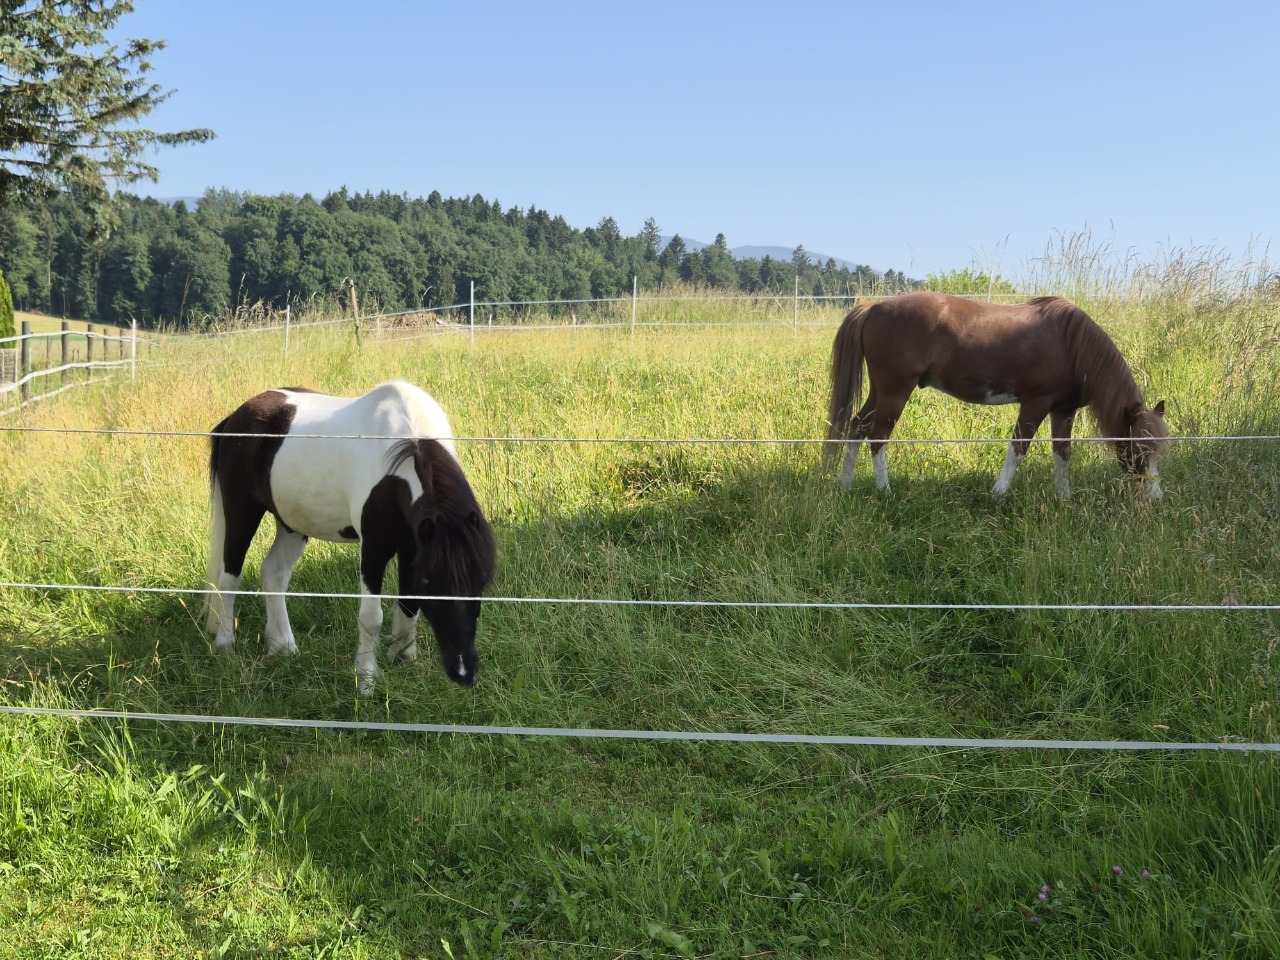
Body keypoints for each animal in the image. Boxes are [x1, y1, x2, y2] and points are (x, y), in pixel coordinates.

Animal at [203, 381, 498, 694]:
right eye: (432, 584)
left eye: (481, 580)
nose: (464, 672)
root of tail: (235, 417)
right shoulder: (374, 549)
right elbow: (371, 617)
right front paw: (366, 679)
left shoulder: (413, 549)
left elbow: (409, 604)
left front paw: (405, 659)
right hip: (241, 512)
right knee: (229, 578)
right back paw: (225, 646)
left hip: (292, 524)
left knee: (274, 574)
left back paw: (283, 647)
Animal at [825, 293, 1169, 498]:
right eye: (1138, 448)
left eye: (1161, 451)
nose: (1156, 497)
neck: (1071, 344)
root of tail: (874, 307)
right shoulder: (1035, 404)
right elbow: (1018, 448)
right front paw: (999, 493)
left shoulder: (1063, 410)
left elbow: (1062, 454)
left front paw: (1064, 498)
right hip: (896, 389)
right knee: (878, 436)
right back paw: (885, 491)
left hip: (880, 390)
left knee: (857, 427)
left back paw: (844, 485)